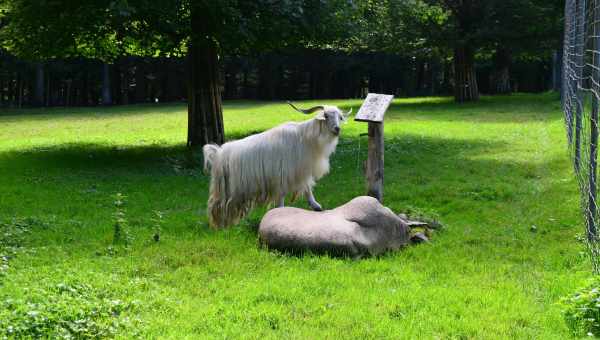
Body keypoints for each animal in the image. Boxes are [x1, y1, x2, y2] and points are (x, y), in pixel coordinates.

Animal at [203, 102, 352, 227]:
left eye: (339, 117)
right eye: (326, 116)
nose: (337, 129)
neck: (305, 138)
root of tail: (217, 153)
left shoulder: (300, 171)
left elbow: (307, 188)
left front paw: (316, 207)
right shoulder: (282, 175)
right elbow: (282, 196)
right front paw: (280, 213)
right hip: (224, 191)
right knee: (216, 206)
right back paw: (219, 225)